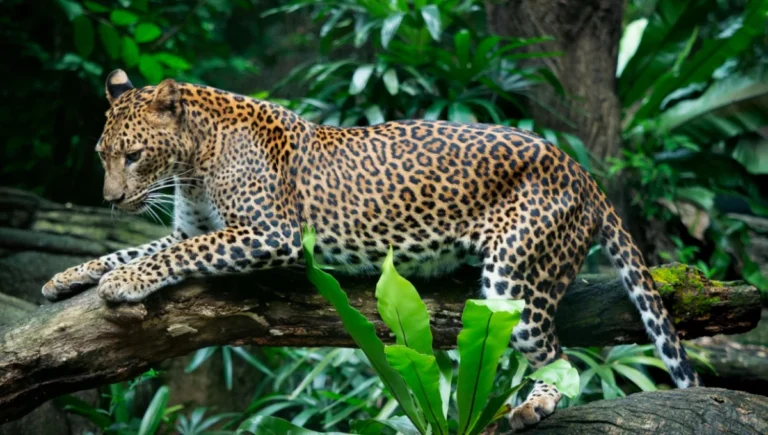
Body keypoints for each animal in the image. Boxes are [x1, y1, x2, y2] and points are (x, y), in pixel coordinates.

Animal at [43, 69, 701, 431]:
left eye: (133, 156)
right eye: (103, 154)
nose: (110, 201)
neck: (192, 162)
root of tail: (576, 166)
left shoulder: (269, 232)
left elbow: (169, 256)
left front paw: (124, 283)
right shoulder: (191, 228)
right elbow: (142, 248)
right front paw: (68, 276)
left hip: (516, 277)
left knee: (559, 358)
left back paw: (535, 405)